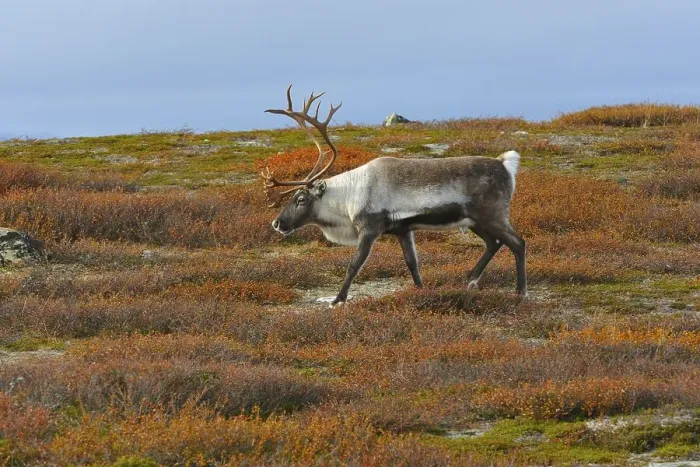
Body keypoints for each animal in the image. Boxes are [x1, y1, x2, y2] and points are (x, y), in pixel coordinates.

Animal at [262, 85, 526, 306]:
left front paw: (337, 300)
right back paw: (470, 281)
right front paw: (420, 291)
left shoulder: (369, 229)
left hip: (493, 215)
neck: (348, 199)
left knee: (517, 243)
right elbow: (412, 264)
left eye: (301, 199)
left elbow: (354, 265)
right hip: (474, 220)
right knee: (493, 243)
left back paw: (520, 292)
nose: (277, 223)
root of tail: (505, 165)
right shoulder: (403, 229)